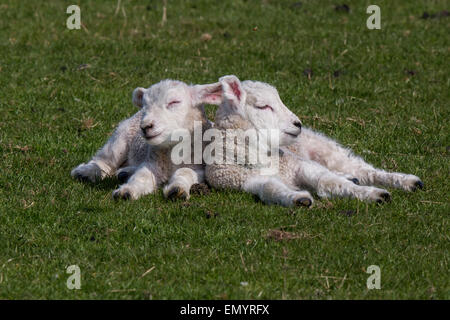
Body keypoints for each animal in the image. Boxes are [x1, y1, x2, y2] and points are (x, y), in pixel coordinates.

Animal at [71, 79, 223, 200]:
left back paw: (124, 173)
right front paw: (126, 191)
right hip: (121, 136)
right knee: (105, 160)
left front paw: (177, 190)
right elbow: (142, 176)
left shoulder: (200, 168)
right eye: (145, 105)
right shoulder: (152, 162)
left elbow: (185, 172)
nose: (145, 126)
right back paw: (85, 172)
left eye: (174, 102)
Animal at [206, 74, 424, 208]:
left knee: (366, 171)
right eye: (264, 106)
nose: (298, 124)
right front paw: (299, 199)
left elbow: (328, 181)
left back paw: (408, 182)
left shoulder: (301, 165)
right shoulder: (245, 180)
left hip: (326, 149)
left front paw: (374, 195)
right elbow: (270, 188)